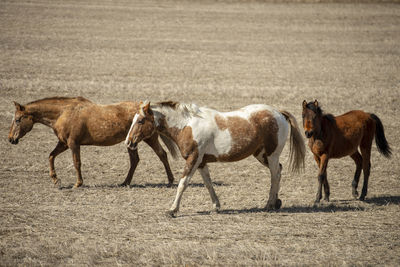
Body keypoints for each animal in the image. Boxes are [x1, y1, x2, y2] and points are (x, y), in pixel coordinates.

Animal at [8, 97, 175, 188]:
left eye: (17, 120)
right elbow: (51, 156)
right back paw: (125, 182)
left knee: (162, 154)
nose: (11, 139)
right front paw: (56, 180)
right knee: (135, 160)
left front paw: (78, 183)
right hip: (131, 142)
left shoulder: (73, 144)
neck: (64, 113)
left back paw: (170, 181)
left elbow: (77, 163)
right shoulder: (63, 143)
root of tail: (149, 110)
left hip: (149, 138)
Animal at [126, 101, 304, 217]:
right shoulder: (201, 162)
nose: (129, 142)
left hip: (271, 155)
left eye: (140, 120)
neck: (187, 125)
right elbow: (208, 184)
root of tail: (278, 112)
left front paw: (172, 210)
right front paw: (216, 206)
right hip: (262, 155)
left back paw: (270, 204)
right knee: (279, 170)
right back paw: (276, 202)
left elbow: (182, 184)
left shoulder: (193, 159)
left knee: (275, 175)